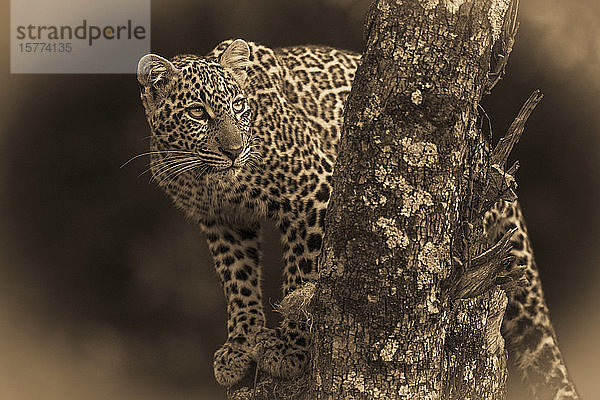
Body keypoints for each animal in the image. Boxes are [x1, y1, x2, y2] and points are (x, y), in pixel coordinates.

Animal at [138, 39, 580, 398]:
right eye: (198, 113)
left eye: (238, 106)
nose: (234, 150)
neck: (208, 180)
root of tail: (487, 147)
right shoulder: (221, 222)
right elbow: (237, 282)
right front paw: (241, 345)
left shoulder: (313, 193)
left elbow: (304, 276)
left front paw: (289, 350)